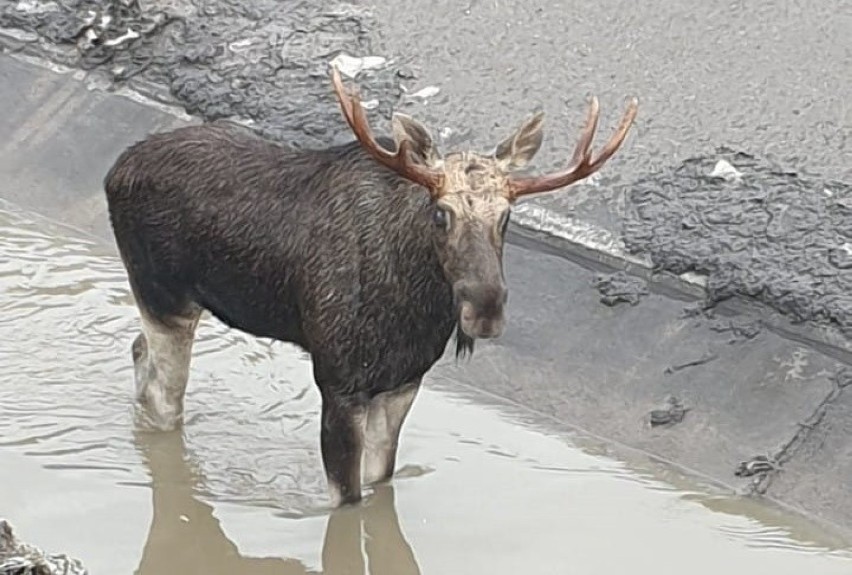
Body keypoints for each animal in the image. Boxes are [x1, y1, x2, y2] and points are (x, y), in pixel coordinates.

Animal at [105, 67, 640, 506]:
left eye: (507, 216)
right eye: (441, 213)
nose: (485, 309)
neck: (410, 308)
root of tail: (114, 171)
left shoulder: (403, 381)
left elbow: (382, 478)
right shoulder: (339, 381)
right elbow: (349, 500)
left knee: (137, 351)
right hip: (162, 295)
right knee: (164, 395)